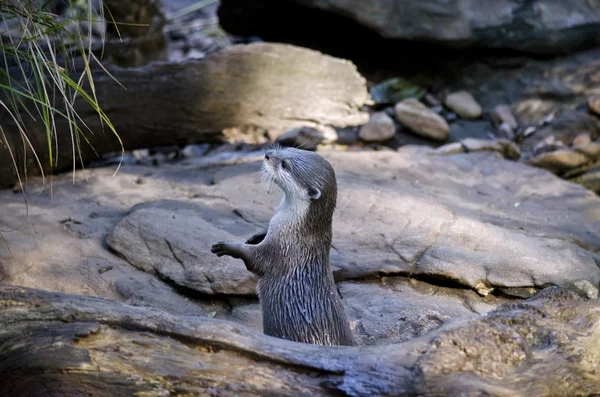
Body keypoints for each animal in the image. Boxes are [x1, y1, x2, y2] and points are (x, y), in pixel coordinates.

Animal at [211, 147, 354, 344]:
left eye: (285, 164)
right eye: (290, 149)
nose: (268, 154)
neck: (296, 227)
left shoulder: (284, 247)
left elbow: (255, 259)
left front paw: (228, 246)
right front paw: (255, 236)